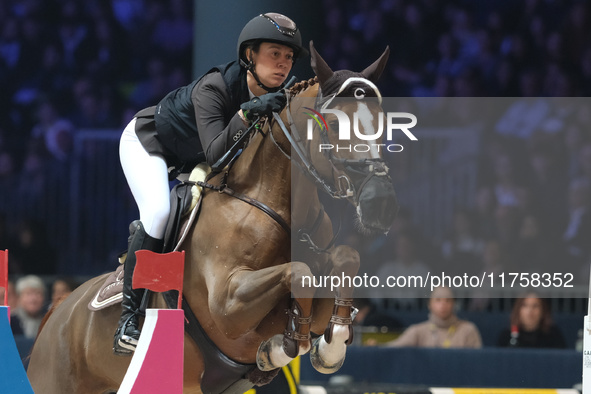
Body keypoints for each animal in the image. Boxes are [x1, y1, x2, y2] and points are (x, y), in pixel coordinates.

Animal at [26, 43, 398, 394]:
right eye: (333, 124)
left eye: (383, 123)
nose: (380, 201)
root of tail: (57, 313)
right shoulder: (227, 305)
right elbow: (300, 273)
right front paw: (280, 348)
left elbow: (344, 259)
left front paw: (329, 347)